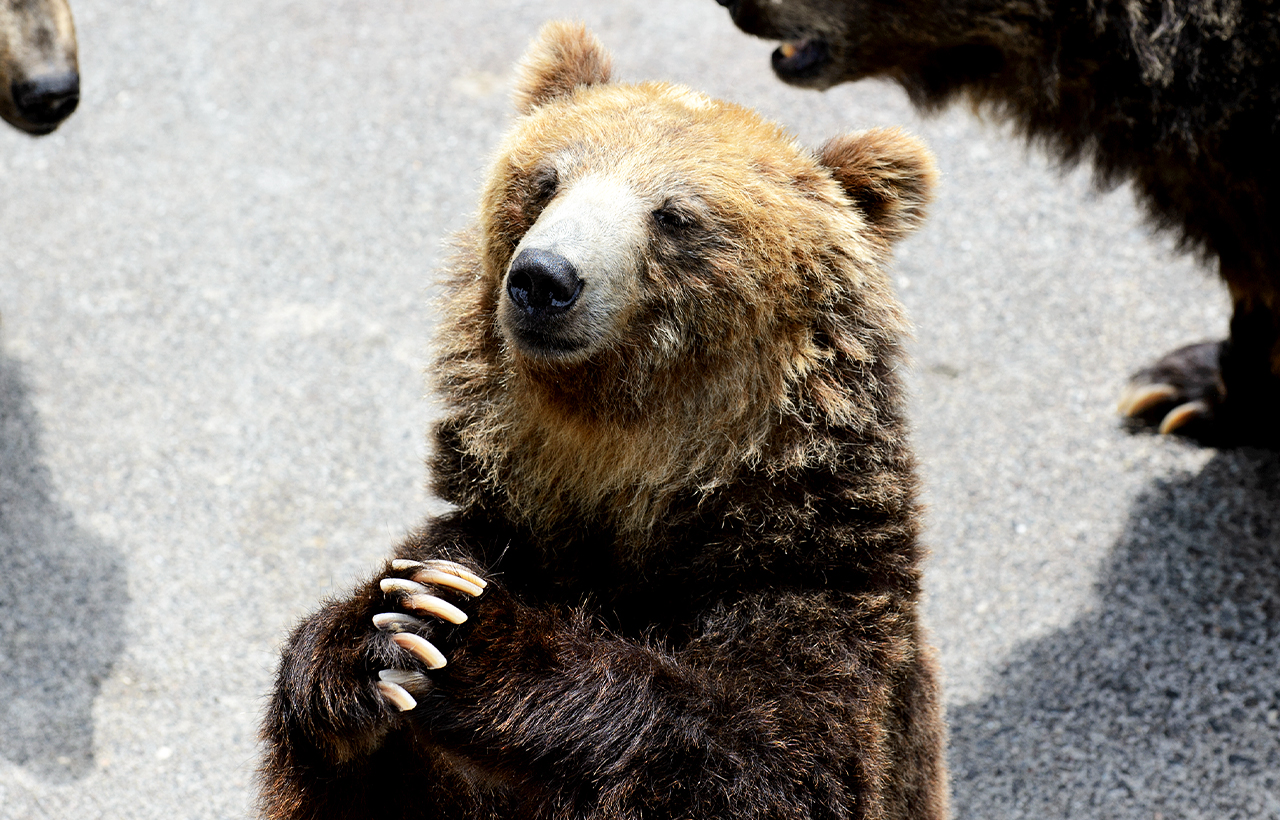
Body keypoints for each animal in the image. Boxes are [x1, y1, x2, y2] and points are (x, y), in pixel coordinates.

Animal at [257, 19, 952, 818]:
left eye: (676, 215)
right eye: (546, 180)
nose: (543, 277)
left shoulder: (814, 591)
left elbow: (782, 761)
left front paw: (461, 630)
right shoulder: (489, 531)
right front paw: (368, 637)